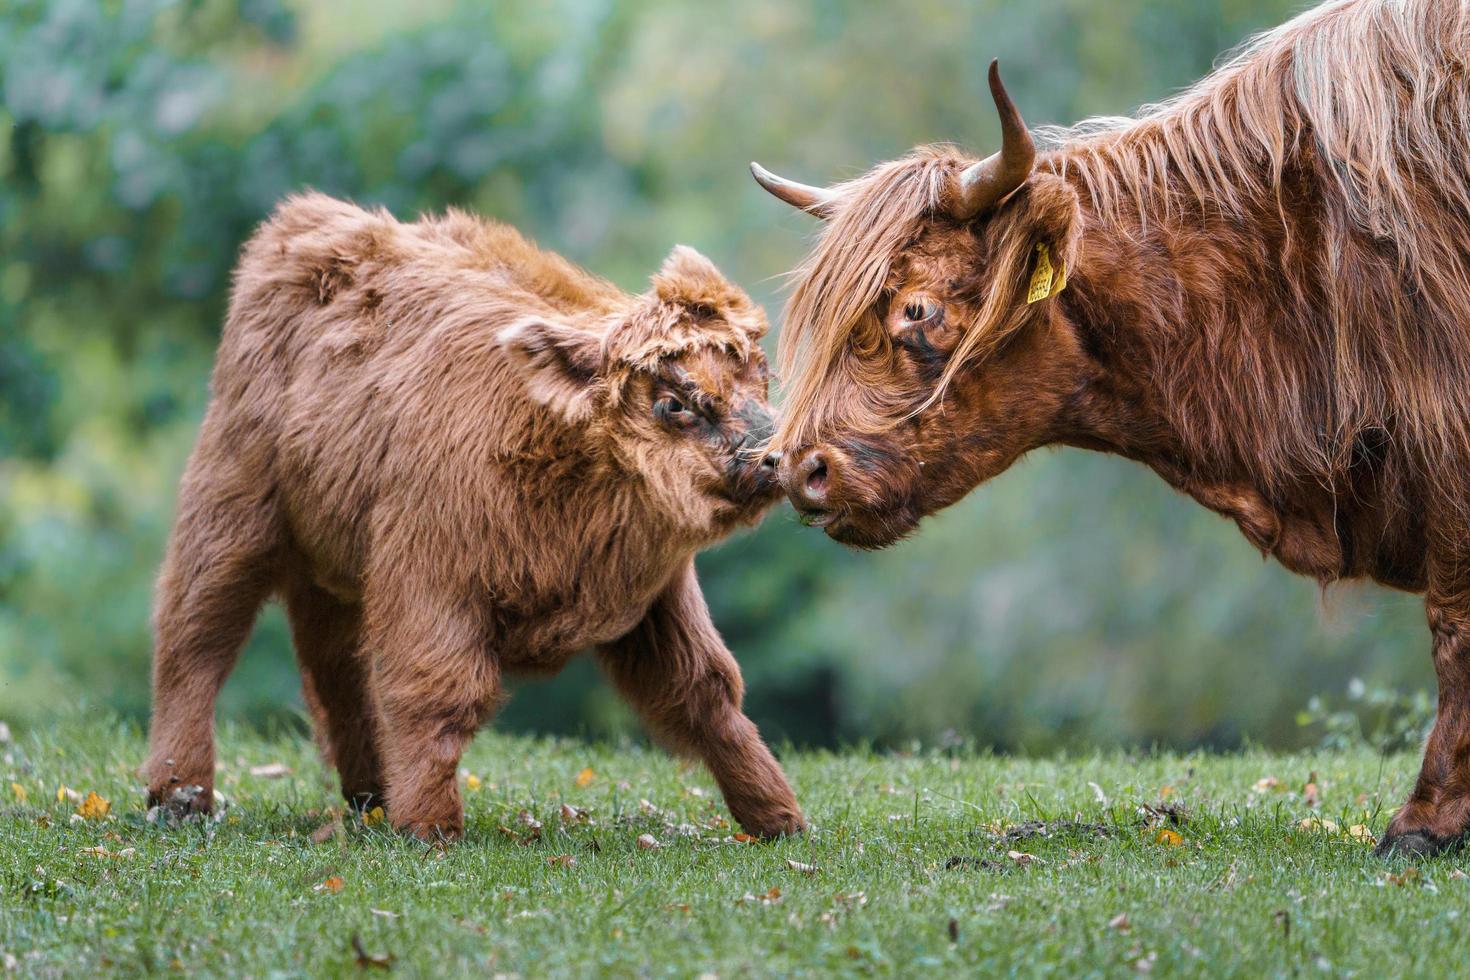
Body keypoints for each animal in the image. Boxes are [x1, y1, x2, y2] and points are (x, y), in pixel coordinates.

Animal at [143, 193, 805, 846]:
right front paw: (430, 827)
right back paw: (179, 797)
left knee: (335, 672)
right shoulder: (430, 581)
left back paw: (371, 799)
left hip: (333, 569)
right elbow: (435, 694)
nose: (775, 455)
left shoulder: (658, 597)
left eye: (761, 376)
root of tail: (298, 222)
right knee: (194, 639)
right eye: (673, 403)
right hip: (230, 513)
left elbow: (708, 691)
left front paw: (778, 818)